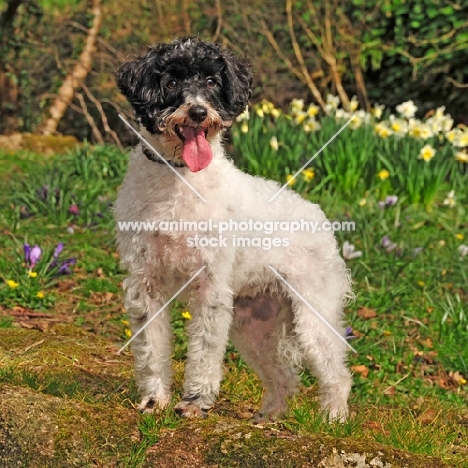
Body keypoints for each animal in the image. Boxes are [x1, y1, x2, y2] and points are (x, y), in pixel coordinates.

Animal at [115, 36, 352, 422]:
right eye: (171, 82)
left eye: (212, 82)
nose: (198, 112)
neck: (179, 178)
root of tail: (318, 216)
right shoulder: (145, 282)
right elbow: (151, 347)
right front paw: (155, 399)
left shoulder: (211, 286)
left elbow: (205, 349)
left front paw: (195, 401)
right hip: (252, 325)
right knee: (284, 375)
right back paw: (268, 418)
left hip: (313, 316)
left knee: (336, 372)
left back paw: (334, 418)